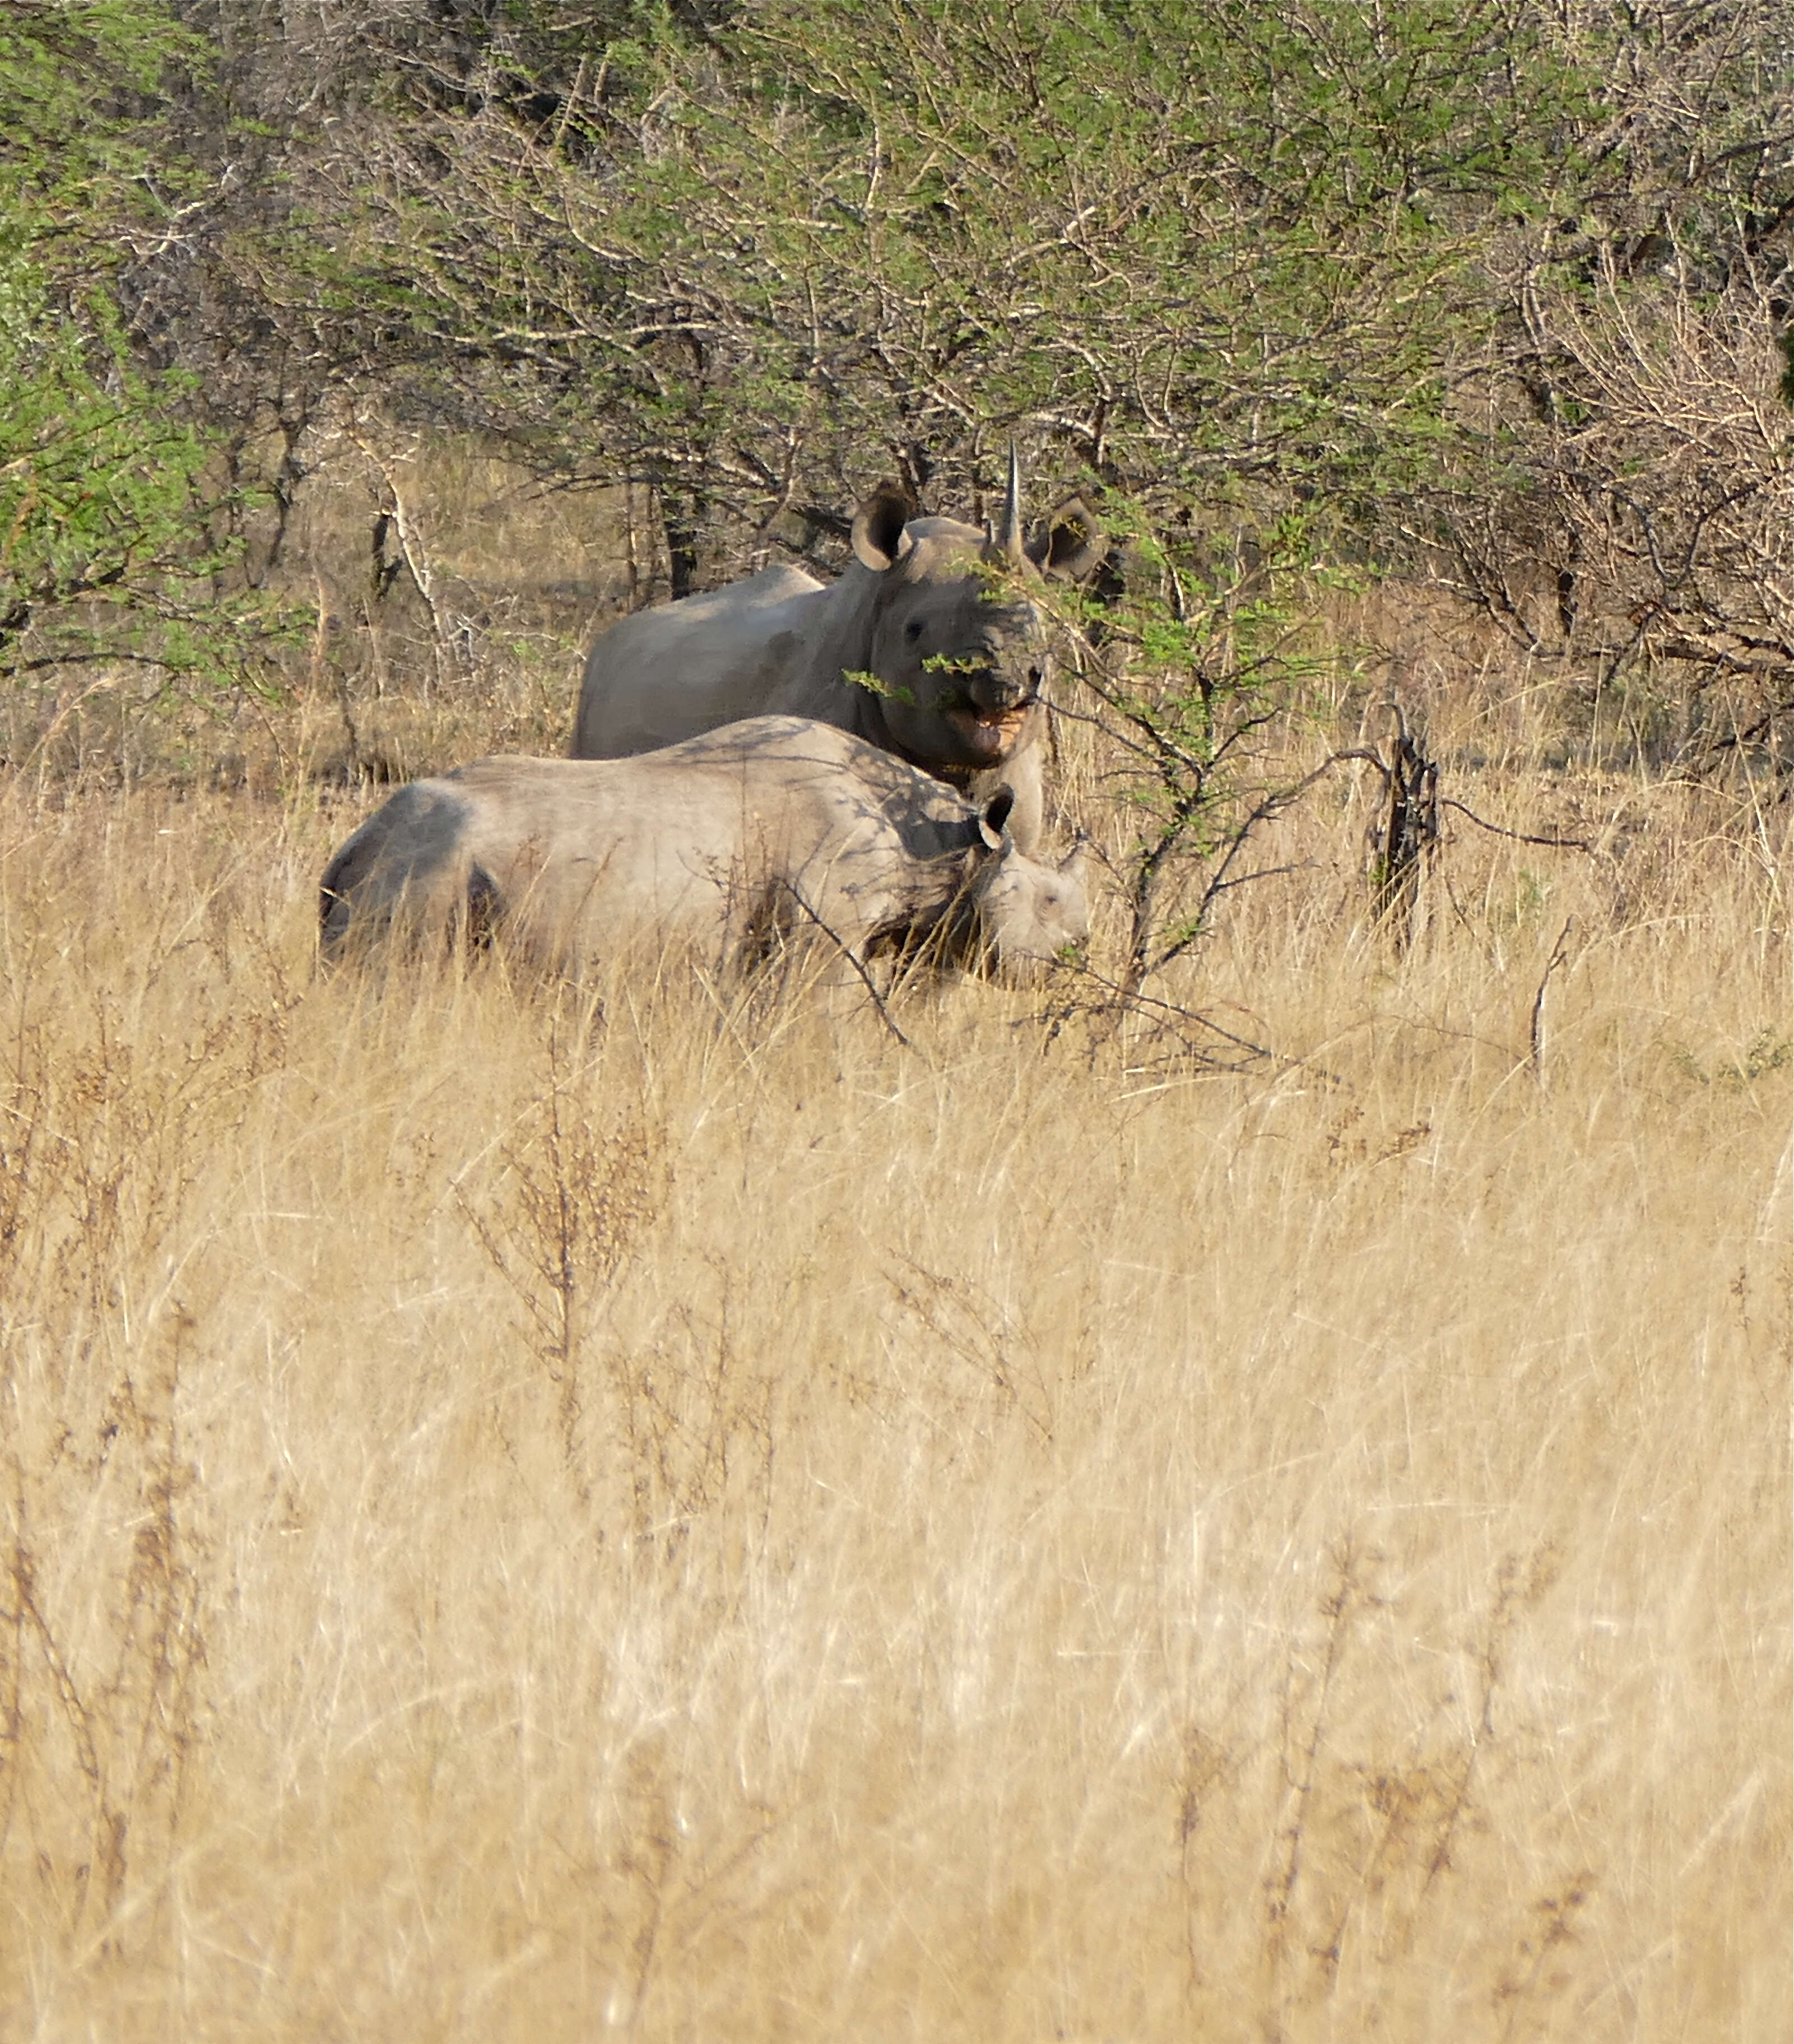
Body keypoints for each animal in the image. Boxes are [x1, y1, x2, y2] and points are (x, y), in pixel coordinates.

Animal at [317, 719, 1087, 981]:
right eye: (1049, 901)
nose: (1079, 958)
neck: (948, 846)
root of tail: (357, 844)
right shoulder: (824, 928)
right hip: (429, 874)